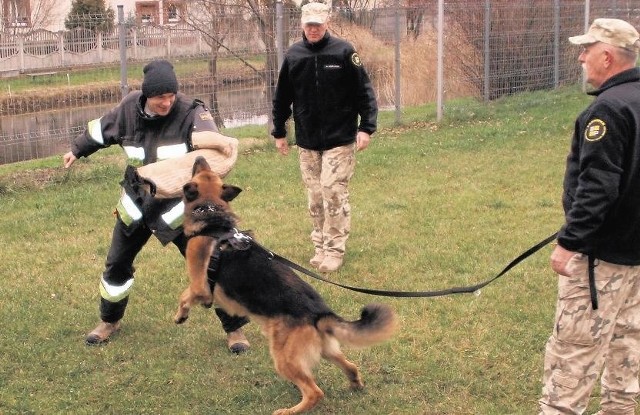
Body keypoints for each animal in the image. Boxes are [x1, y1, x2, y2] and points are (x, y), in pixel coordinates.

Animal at [172, 158, 398, 414]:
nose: (199, 158)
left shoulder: (200, 285)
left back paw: (290, 410)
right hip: (327, 350)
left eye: (198, 170)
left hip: (284, 358)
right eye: (204, 169)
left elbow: (185, 295)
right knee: (350, 366)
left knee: (314, 392)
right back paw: (355, 385)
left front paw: (180, 316)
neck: (213, 216)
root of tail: (319, 314)